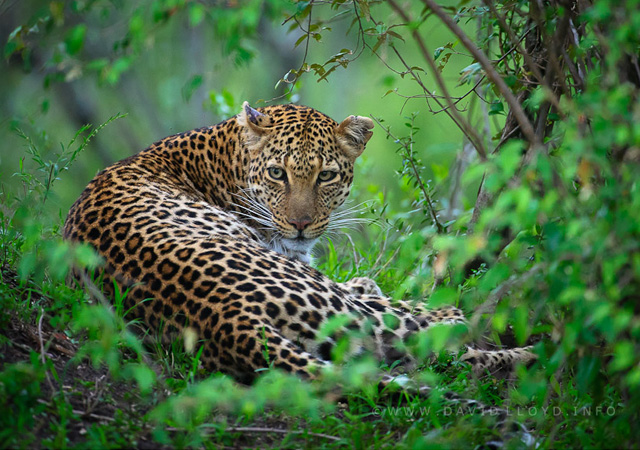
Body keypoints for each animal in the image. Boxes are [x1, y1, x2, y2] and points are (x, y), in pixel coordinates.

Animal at [63, 102, 535, 386]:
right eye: (277, 173)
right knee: (437, 338)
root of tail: (226, 319)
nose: (301, 225)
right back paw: (518, 348)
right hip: (337, 306)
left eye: (326, 176)